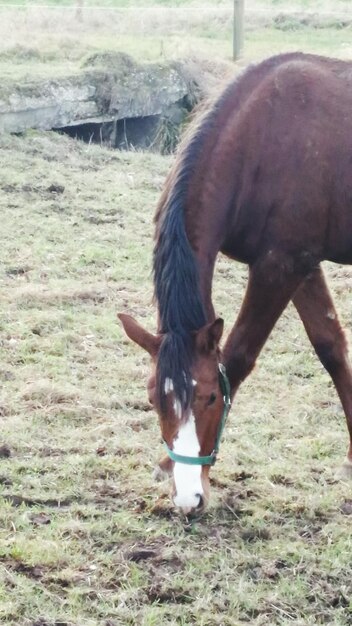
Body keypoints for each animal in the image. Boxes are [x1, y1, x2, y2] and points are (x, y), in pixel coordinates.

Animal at [117, 51, 352, 516]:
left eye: (210, 397)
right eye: (153, 399)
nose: (188, 499)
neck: (264, 137)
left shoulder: (280, 267)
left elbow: (238, 358)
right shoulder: (302, 265)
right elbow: (331, 347)